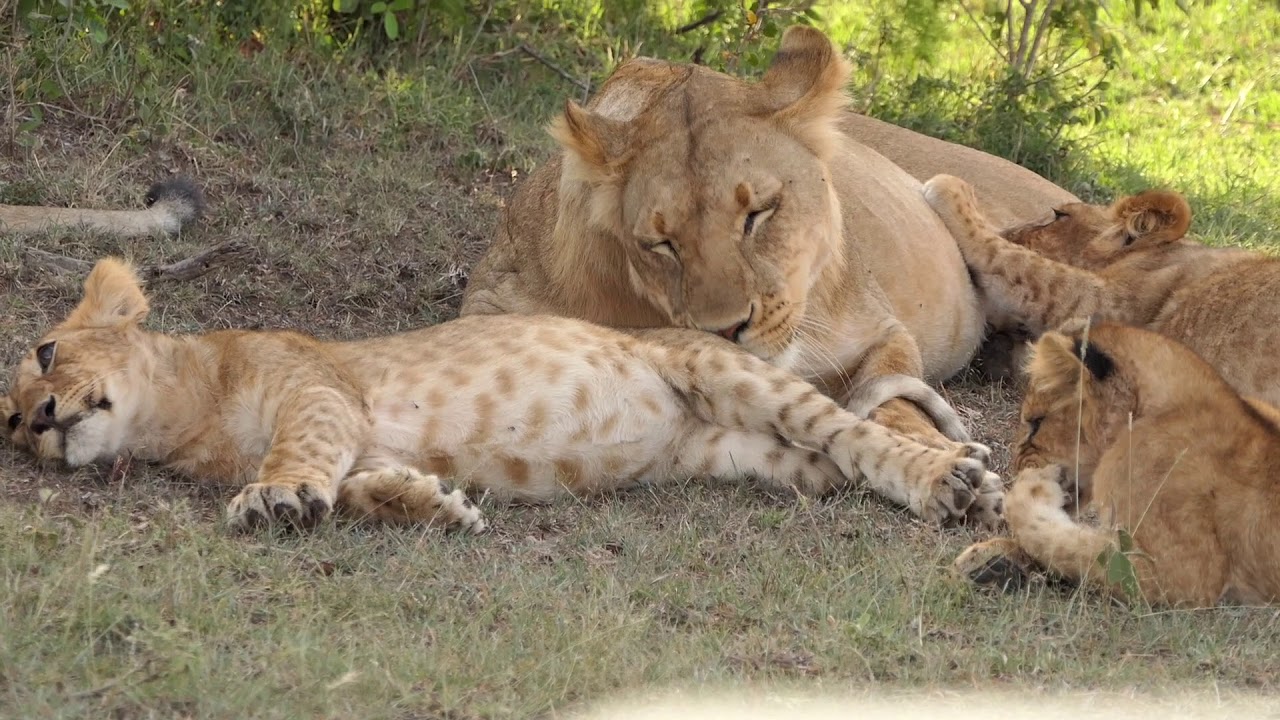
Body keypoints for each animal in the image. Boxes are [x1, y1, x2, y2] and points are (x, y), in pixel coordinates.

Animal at [2, 258, 1000, 532]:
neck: (182, 416)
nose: (37, 424)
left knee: (854, 435)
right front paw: (431, 504)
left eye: (46, 352)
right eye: (7, 425)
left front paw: (274, 498)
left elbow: (299, 454)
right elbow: (359, 487)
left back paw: (955, 482)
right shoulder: (359, 440)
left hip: (727, 368)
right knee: (825, 462)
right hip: (738, 452)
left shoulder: (321, 391)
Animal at [460, 26, 1076, 527]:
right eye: (661, 243)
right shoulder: (497, 301)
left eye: (759, 213)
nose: (726, 330)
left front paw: (955, 469)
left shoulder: (882, 330)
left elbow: (894, 399)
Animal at [953, 321, 1280, 607]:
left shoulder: (1181, 576)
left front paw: (1028, 493)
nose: (1016, 469)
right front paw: (987, 558)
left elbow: (1067, 544)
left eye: (1036, 423)